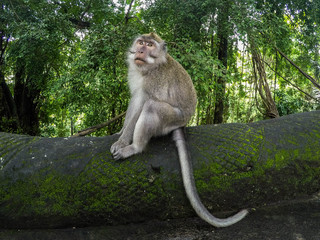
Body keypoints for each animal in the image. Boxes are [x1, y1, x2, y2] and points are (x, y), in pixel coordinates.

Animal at [111, 32, 249, 228]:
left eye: (149, 45)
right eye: (141, 42)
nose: (141, 50)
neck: (150, 67)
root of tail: (182, 123)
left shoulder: (154, 81)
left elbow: (142, 103)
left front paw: (123, 142)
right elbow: (134, 101)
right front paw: (119, 133)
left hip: (171, 119)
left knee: (151, 106)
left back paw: (134, 148)